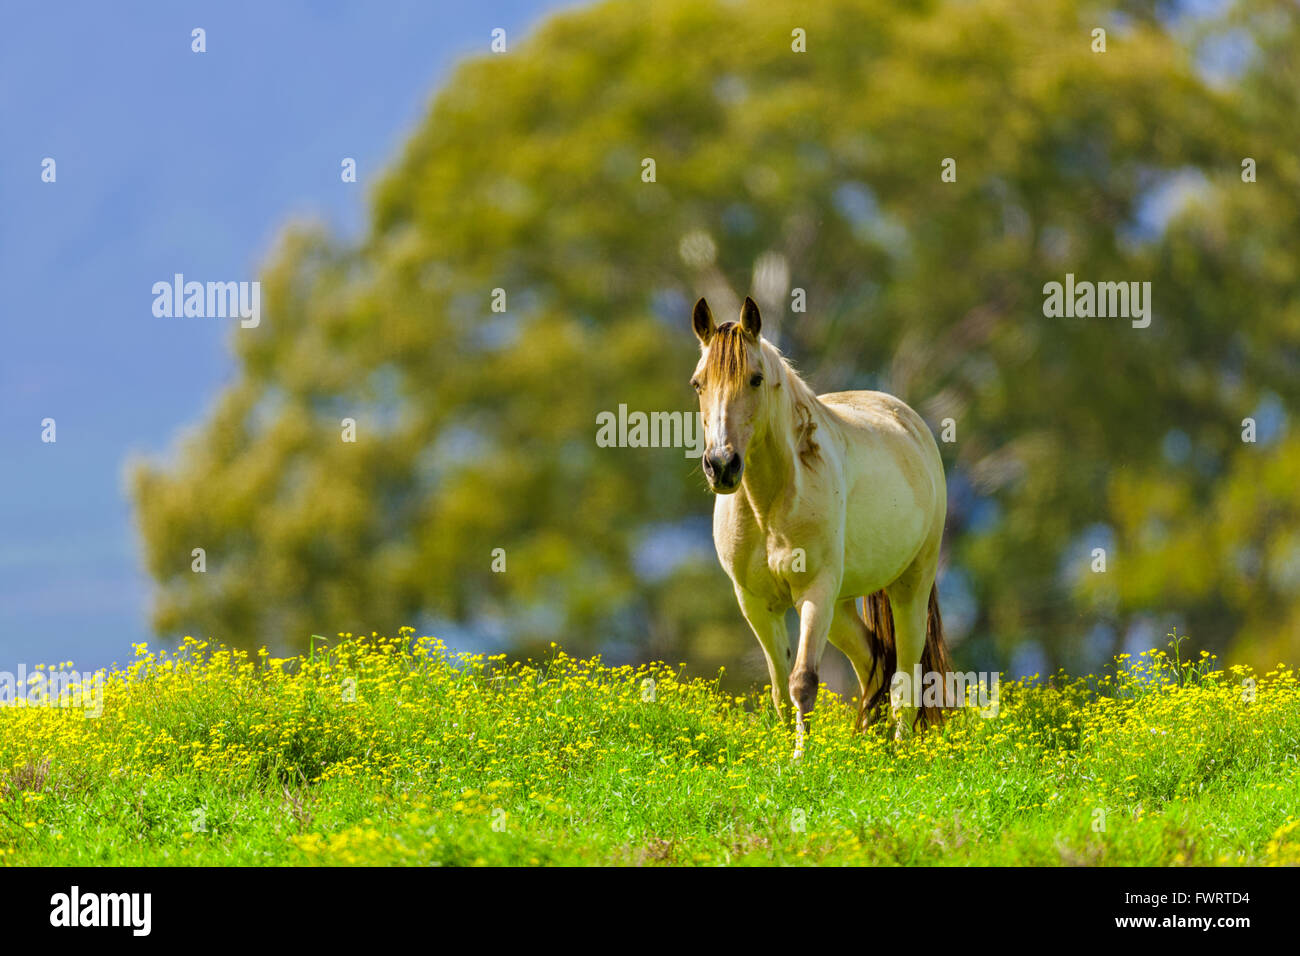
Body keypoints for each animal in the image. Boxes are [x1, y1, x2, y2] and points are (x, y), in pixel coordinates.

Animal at [691, 295, 956, 749]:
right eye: (698, 384)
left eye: (756, 379)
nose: (722, 466)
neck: (769, 506)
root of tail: (908, 421)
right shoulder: (755, 603)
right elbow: (780, 690)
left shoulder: (815, 592)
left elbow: (803, 682)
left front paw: (800, 758)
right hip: (842, 605)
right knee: (874, 663)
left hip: (909, 587)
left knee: (905, 677)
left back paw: (901, 750)